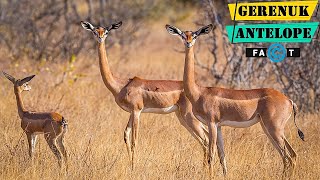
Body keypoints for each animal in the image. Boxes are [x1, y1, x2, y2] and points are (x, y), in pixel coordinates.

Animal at [81, 21, 228, 172]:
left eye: (106, 32)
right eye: (94, 31)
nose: (100, 38)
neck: (121, 85)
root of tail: (198, 91)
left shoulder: (137, 111)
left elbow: (134, 141)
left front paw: (133, 168)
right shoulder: (131, 112)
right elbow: (126, 135)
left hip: (189, 116)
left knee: (205, 139)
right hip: (182, 117)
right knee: (206, 138)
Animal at [166, 24, 304, 179]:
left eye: (195, 35)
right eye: (183, 35)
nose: (188, 43)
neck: (199, 92)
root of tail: (289, 100)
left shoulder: (211, 123)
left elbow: (211, 155)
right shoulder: (219, 126)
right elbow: (222, 156)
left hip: (274, 128)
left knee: (289, 156)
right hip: (268, 128)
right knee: (290, 155)